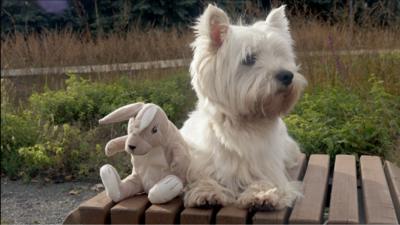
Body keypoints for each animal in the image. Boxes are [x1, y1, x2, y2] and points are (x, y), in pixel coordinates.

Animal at [180, 3, 308, 211]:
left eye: (279, 54)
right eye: (249, 59)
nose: (287, 75)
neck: (244, 123)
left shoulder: (267, 168)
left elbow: (264, 180)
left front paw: (262, 195)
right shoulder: (201, 162)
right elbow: (204, 177)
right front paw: (207, 192)